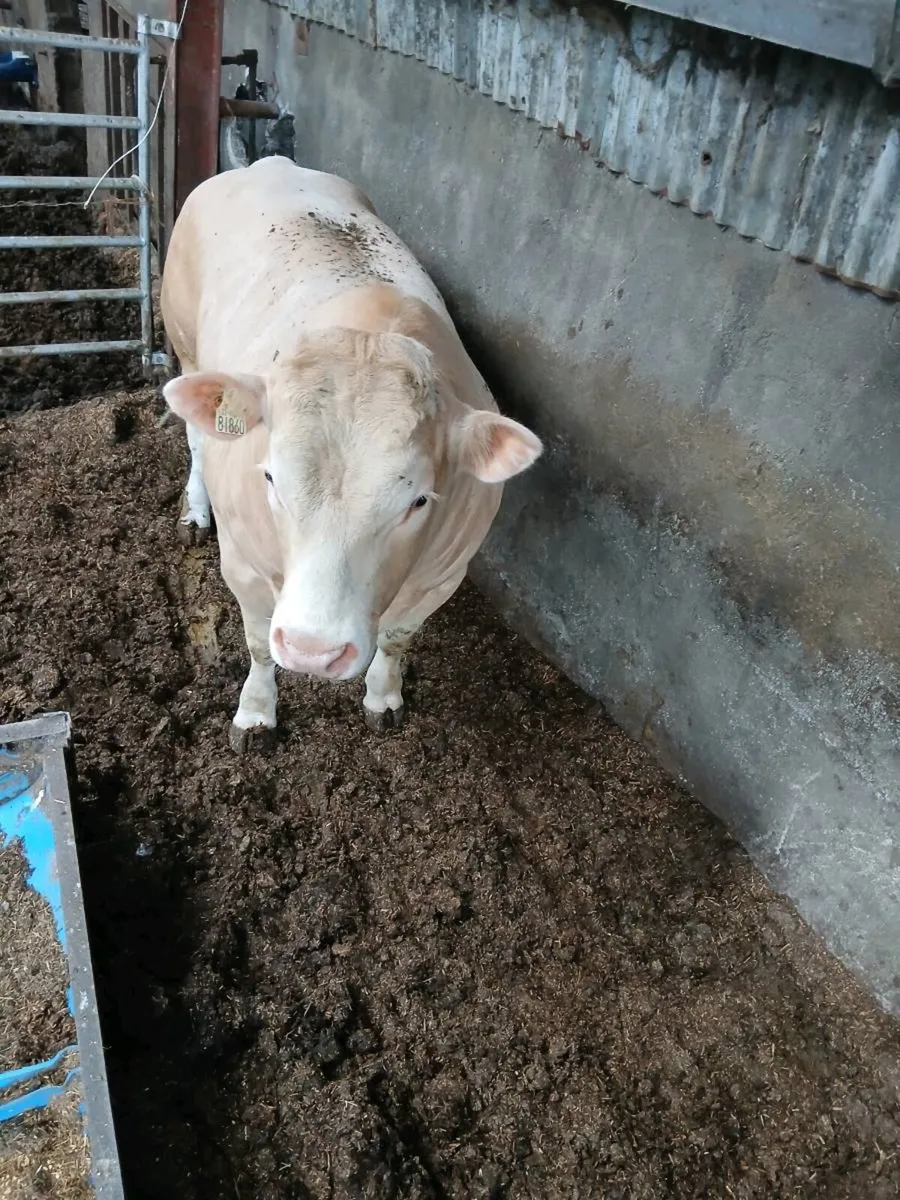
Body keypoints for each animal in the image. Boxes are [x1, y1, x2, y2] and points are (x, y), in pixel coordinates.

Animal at [160, 156, 542, 753]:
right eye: (270, 479)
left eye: (418, 502)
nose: (314, 653)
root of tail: (268, 163)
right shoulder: (241, 565)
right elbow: (258, 645)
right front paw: (256, 713)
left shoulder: (444, 575)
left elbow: (398, 638)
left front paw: (384, 697)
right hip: (185, 344)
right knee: (198, 439)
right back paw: (195, 511)